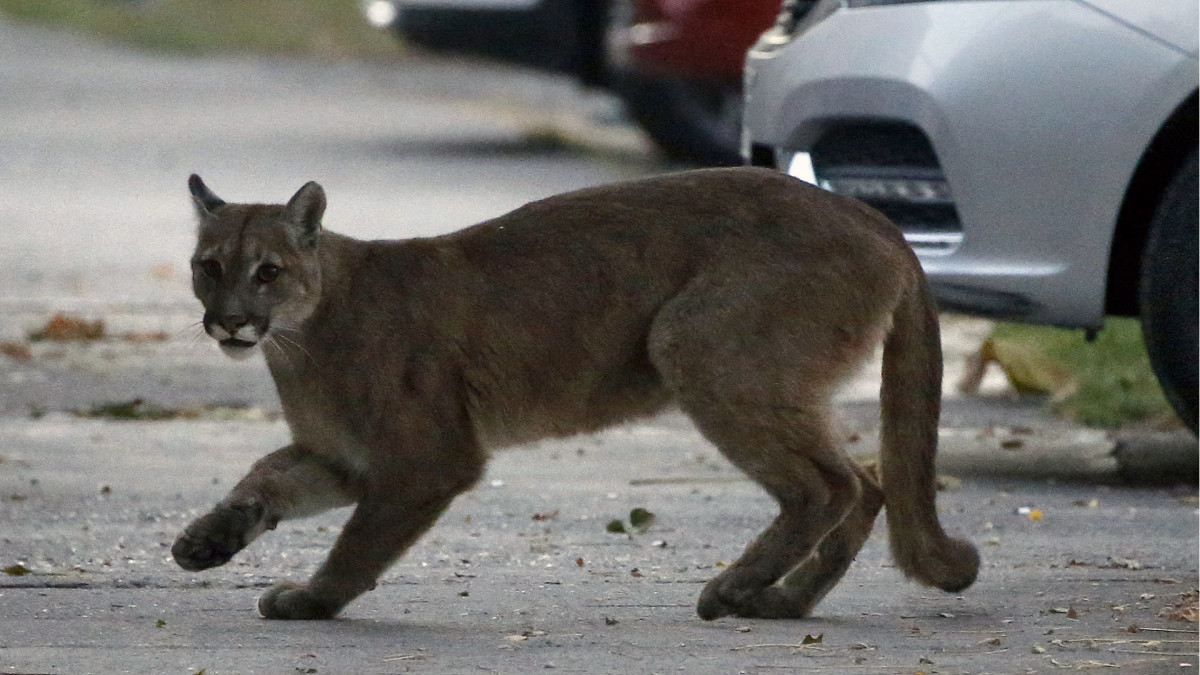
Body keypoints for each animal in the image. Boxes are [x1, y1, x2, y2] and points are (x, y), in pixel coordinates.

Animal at [174, 165, 979, 619]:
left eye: (267, 271)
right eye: (208, 266)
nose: (229, 320)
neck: (300, 339)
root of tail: (872, 215)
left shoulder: (426, 460)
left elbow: (358, 542)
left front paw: (313, 600)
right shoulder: (344, 456)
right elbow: (266, 477)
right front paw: (207, 539)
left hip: (694, 342)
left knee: (827, 485)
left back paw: (734, 590)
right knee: (869, 481)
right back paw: (782, 601)